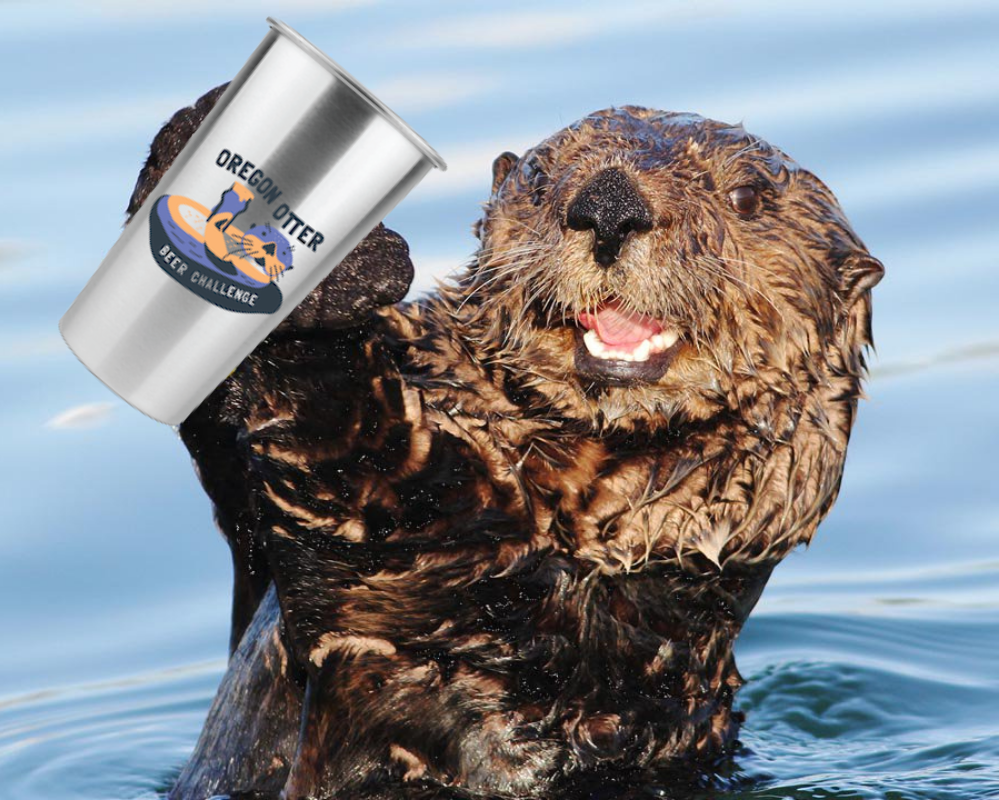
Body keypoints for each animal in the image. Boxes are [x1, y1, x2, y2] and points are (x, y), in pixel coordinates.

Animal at [133, 86, 882, 799]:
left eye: (746, 197)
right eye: (542, 176)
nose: (608, 206)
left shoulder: (484, 609)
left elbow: (361, 467)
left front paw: (341, 274)